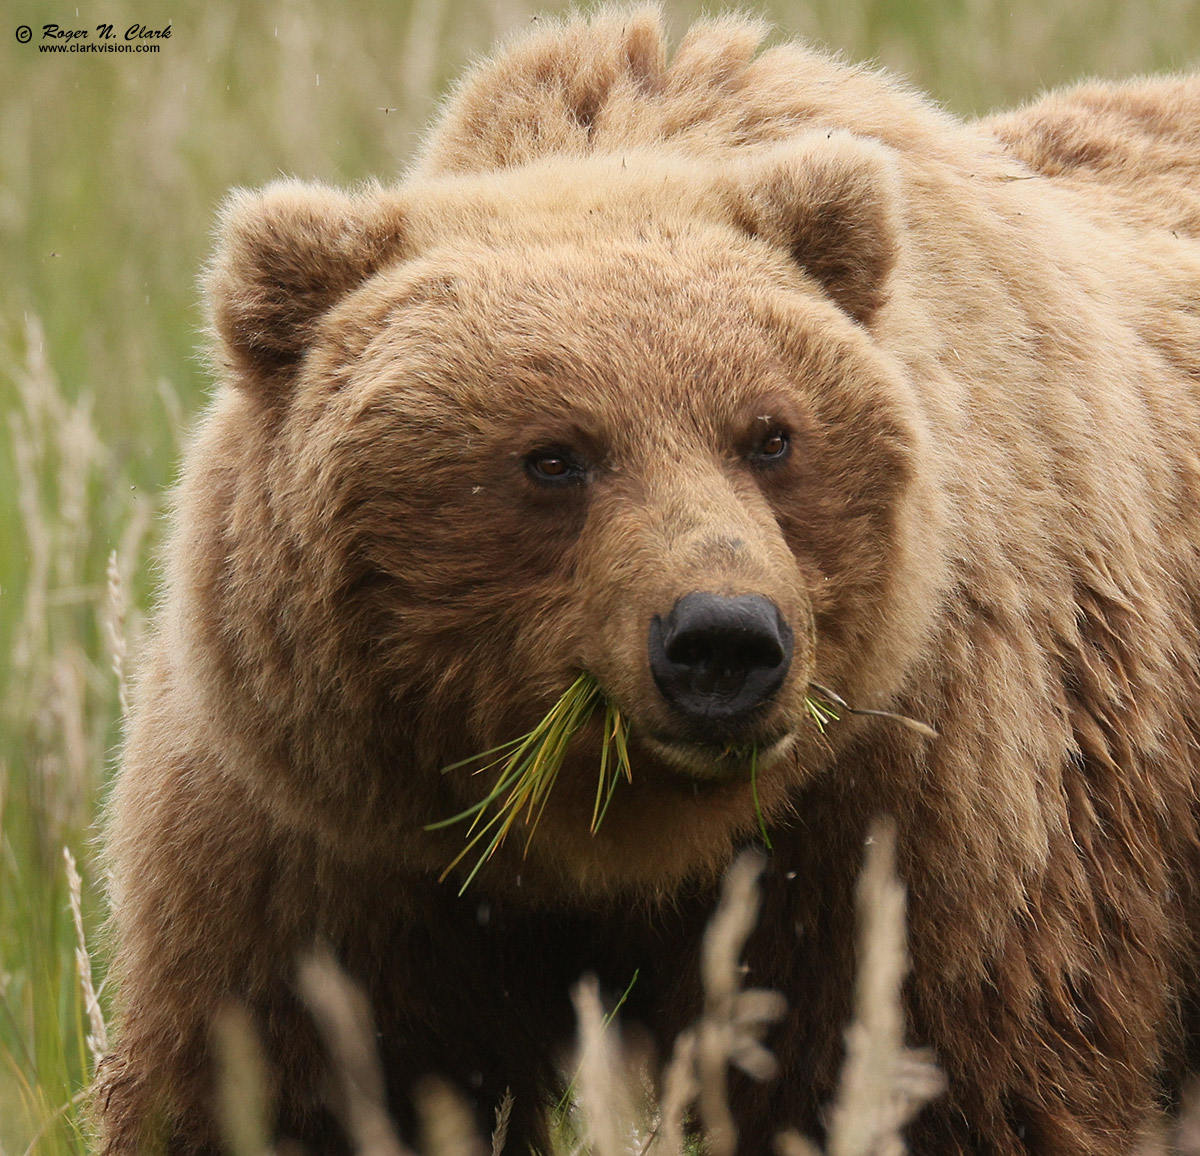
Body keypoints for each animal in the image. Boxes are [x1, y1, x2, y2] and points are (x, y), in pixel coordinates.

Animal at [96, 9, 1200, 1156]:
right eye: (554, 456)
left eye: (770, 435)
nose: (724, 639)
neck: (609, 835)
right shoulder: (327, 839)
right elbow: (290, 1084)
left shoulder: (918, 811)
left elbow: (940, 1079)